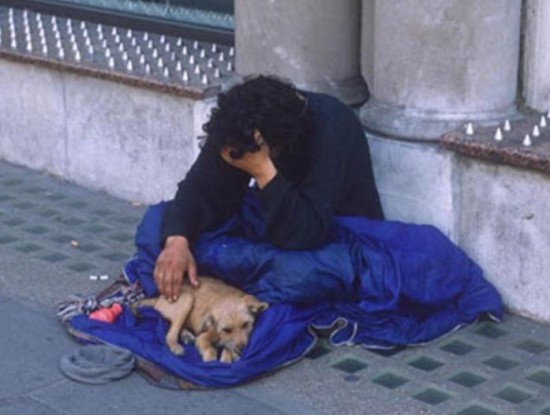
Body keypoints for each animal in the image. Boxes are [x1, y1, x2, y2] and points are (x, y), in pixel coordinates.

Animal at [137, 280, 268, 364]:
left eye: (245, 325)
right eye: (226, 330)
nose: (242, 349)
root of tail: (158, 298)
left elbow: (227, 352)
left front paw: (229, 355)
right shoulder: (204, 336)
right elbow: (210, 349)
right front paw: (211, 359)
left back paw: (186, 335)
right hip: (188, 299)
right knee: (171, 333)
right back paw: (176, 346)